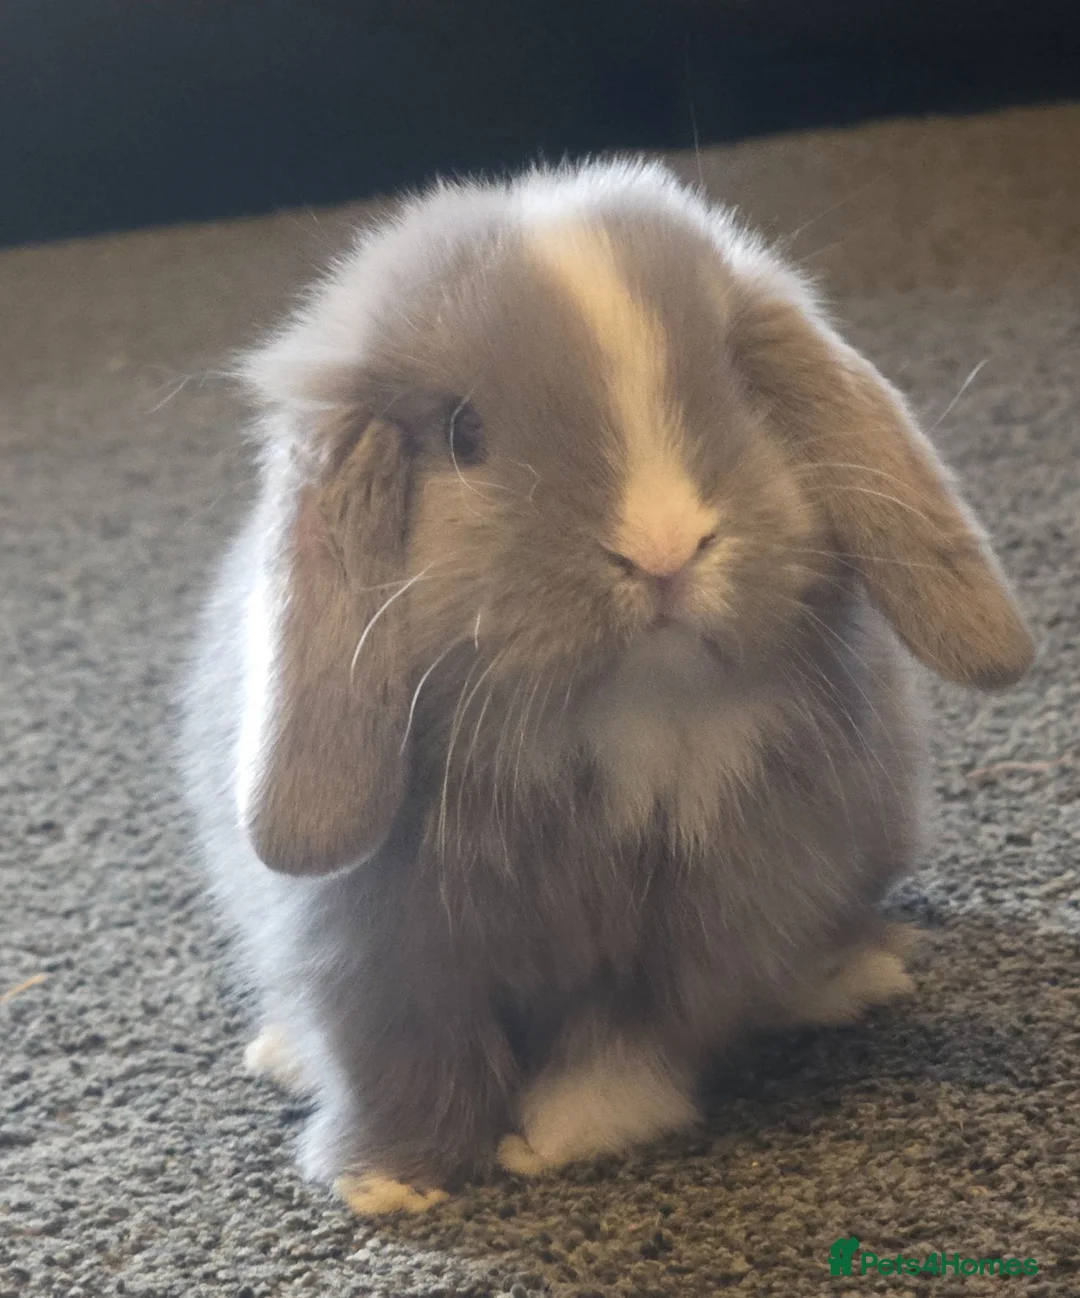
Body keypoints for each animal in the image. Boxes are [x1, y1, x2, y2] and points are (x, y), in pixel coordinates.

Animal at [181, 158, 1033, 1215]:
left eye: (740, 388)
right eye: (463, 433)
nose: (664, 548)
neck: (622, 721)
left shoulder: (697, 934)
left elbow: (627, 1046)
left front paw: (556, 1142)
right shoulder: (375, 953)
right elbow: (402, 1060)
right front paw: (390, 1184)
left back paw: (850, 979)